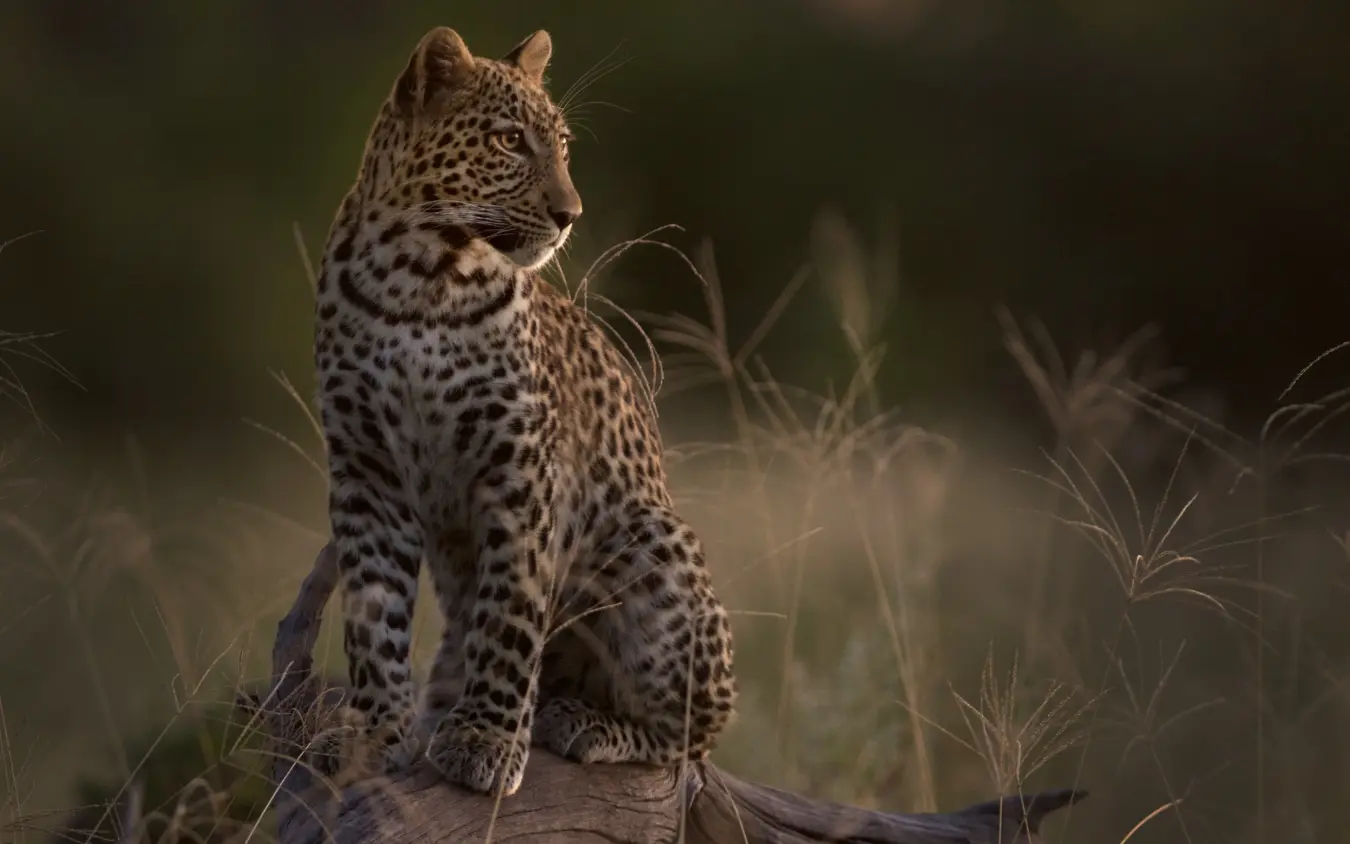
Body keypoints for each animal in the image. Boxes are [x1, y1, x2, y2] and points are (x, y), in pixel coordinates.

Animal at [311, 26, 738, 797]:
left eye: (563, 146)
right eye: (510, 140)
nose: (571, 215)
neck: (420, 277)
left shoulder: (522, 468)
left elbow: (511, 610)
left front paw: (486, 739)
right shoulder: (366, 469)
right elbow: (371, 611)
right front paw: (374, 733)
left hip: (652, 543)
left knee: (689, 737)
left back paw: (583, 722)